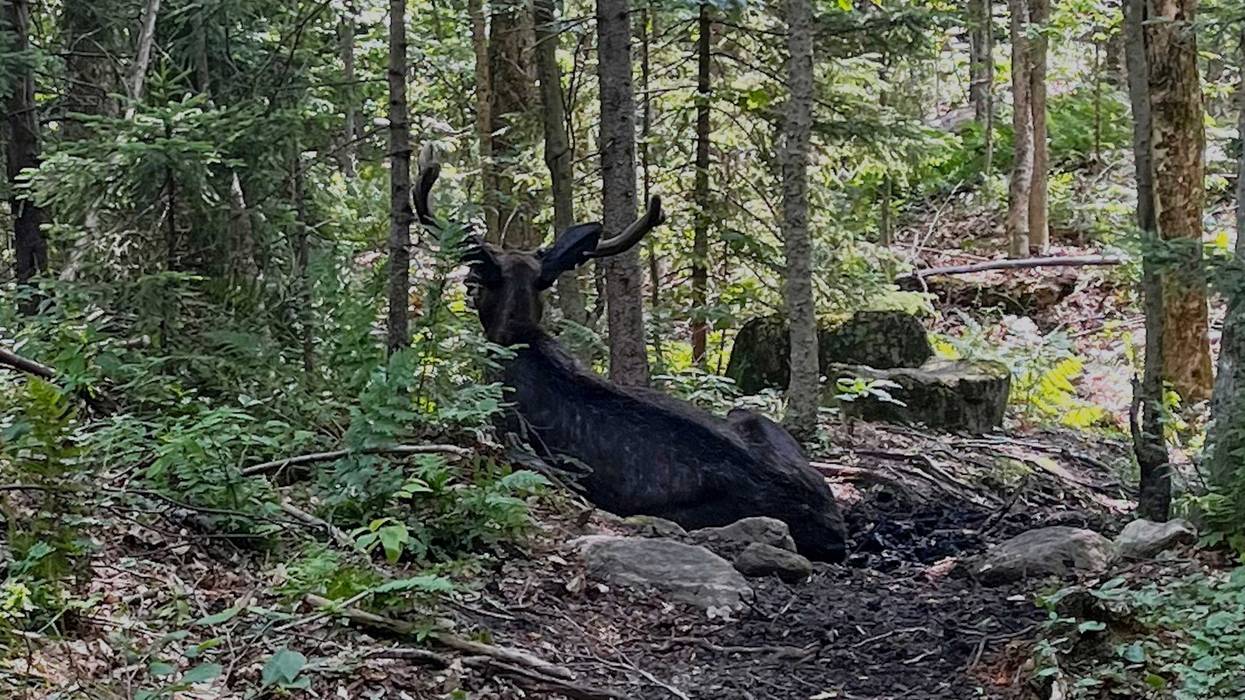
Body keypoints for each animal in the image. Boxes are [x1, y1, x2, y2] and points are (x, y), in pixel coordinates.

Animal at [413, 151, 847, 562]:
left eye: (475, 279)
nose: (467, 287)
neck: (518, 339)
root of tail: (834, 527)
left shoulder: (505, 427)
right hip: (752, 417)